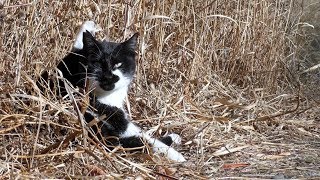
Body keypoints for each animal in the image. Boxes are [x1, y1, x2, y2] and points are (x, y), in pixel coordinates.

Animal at [38, 21, 186, 162]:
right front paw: (176, 153)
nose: (109, 77)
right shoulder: (114, 119)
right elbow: (146, 140)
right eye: (98, 63)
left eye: (118, 64)